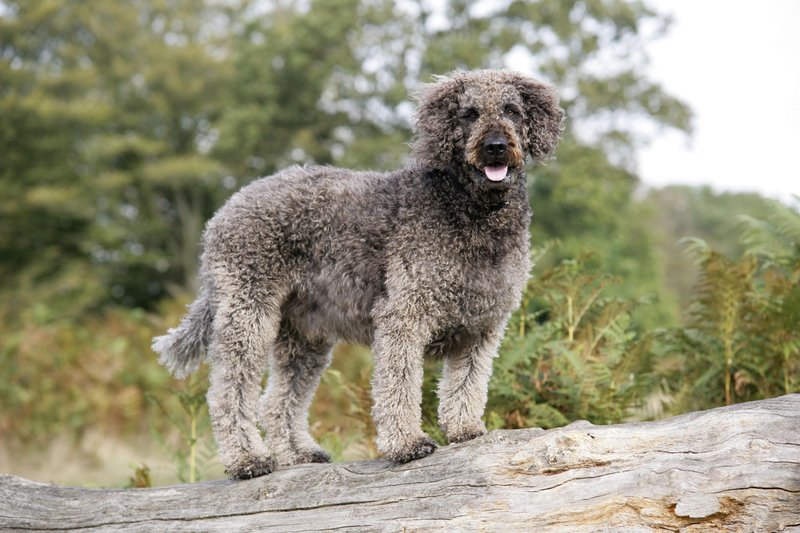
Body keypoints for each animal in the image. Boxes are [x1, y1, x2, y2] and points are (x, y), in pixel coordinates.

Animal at [152, 67, 564, 478]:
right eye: (470, 114)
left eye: (511, 110)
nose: (495, 146)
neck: (472, 214)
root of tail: (224, 211)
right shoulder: (403, 317)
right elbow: (399, 385)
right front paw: (406, 443)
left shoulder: (481, 327)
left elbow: (467, 384)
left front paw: (464, 429)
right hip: (248, 317)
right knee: (228, 394)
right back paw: (247, 459)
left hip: (304, 337)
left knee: (278, 400)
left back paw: (297, 454)